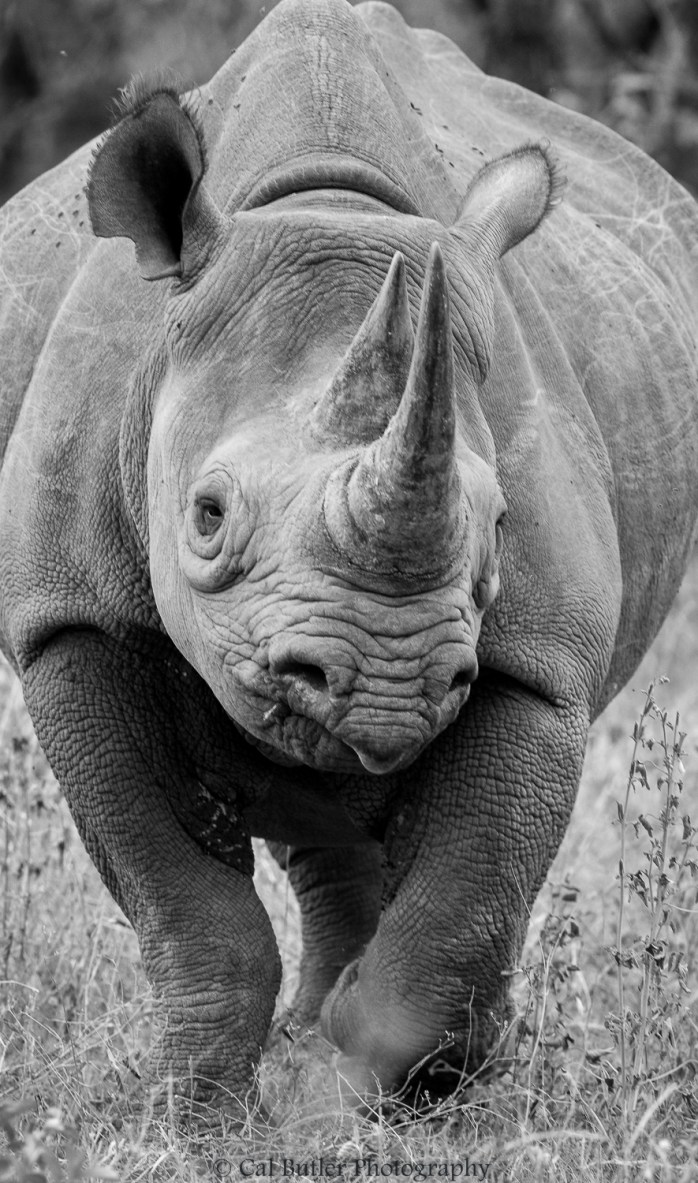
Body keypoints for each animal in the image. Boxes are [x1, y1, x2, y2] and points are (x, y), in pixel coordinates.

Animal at [1, 0, 698, 1110]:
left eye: (500, 528)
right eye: (206, 515)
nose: (386, 680)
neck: (325, 210)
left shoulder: (537, 664)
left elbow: (460, 907)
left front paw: (371, 1099)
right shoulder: (67, 617)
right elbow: (187, 908)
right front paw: (199, 1112)